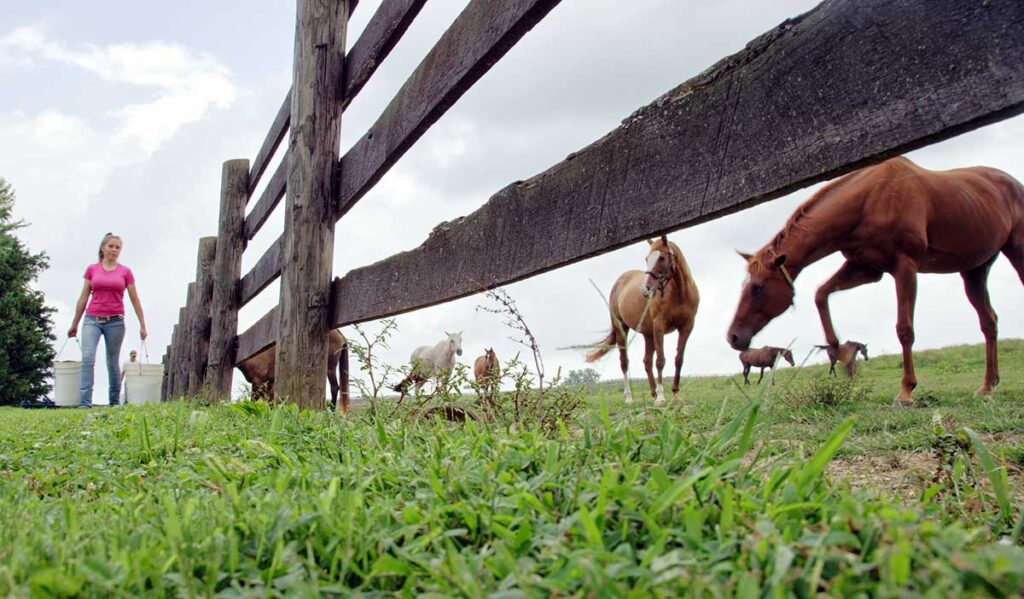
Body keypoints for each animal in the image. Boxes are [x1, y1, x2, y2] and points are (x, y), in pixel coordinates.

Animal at [586, 235, 699, 404]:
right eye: (647, 258)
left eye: (661, 258)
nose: (645, 289)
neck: (679, 294)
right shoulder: (659, 326)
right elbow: (660, 361)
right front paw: (661, 397)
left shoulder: (686, 327)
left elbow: (678, 359)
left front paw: (675, 395)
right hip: (622, 330)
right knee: (624, 362)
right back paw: (629, 397)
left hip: (648, 334)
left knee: (647, 361)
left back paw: (652, 393)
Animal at [727, 157, 1024, 407]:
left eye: (757, 288)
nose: (733, 336)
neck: (870, 199)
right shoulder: (865, 269)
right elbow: (821, 294)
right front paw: (843, 356)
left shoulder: (905, 266)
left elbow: (905, 329)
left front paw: (906, 391)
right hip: (975, 270)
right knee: (989, 322)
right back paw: (987, 386)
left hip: (1016, 252)